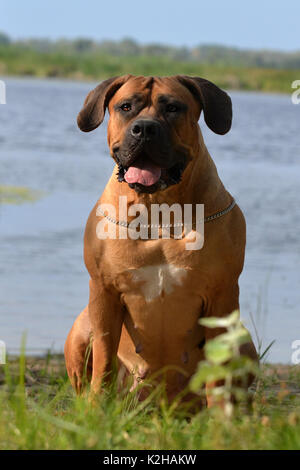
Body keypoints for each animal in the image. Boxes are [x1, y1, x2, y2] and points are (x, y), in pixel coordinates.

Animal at [64, 75, 256, 406]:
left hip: (244, 340)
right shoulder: (103, 292)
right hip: (82, 326)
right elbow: (103, 359)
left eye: (173, 108)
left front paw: (221, 415)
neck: (159, 212)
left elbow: (218, 372)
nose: (144, 128)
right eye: (126, 107)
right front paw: (97, 406)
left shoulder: (222, 296)